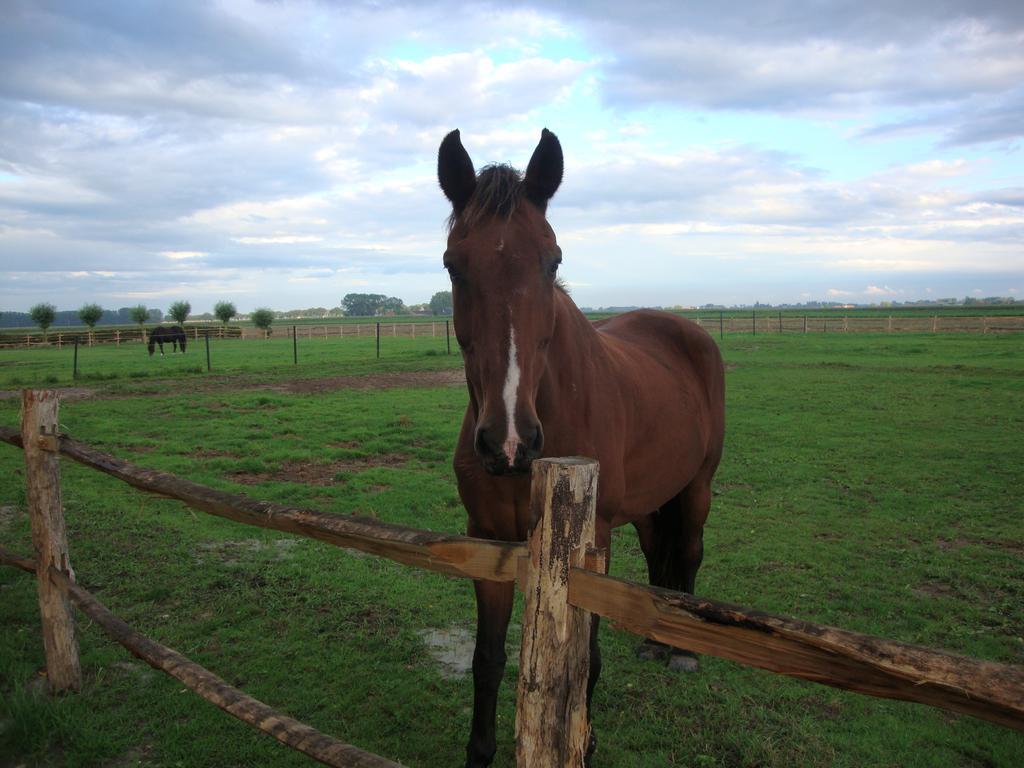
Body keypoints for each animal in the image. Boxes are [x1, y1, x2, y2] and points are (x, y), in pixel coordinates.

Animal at [436, 129, 724, 765]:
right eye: (453, 264)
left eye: (554, 260)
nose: (509, 441)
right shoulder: (487, 539)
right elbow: (487, 660)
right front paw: (479, 751)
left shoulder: (592, 543)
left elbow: (586, 663)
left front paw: (584, 742)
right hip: (647, 503)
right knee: (658, 555)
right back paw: (654, 642)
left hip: (698, 485)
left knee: (689, 551)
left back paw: (683, 652)